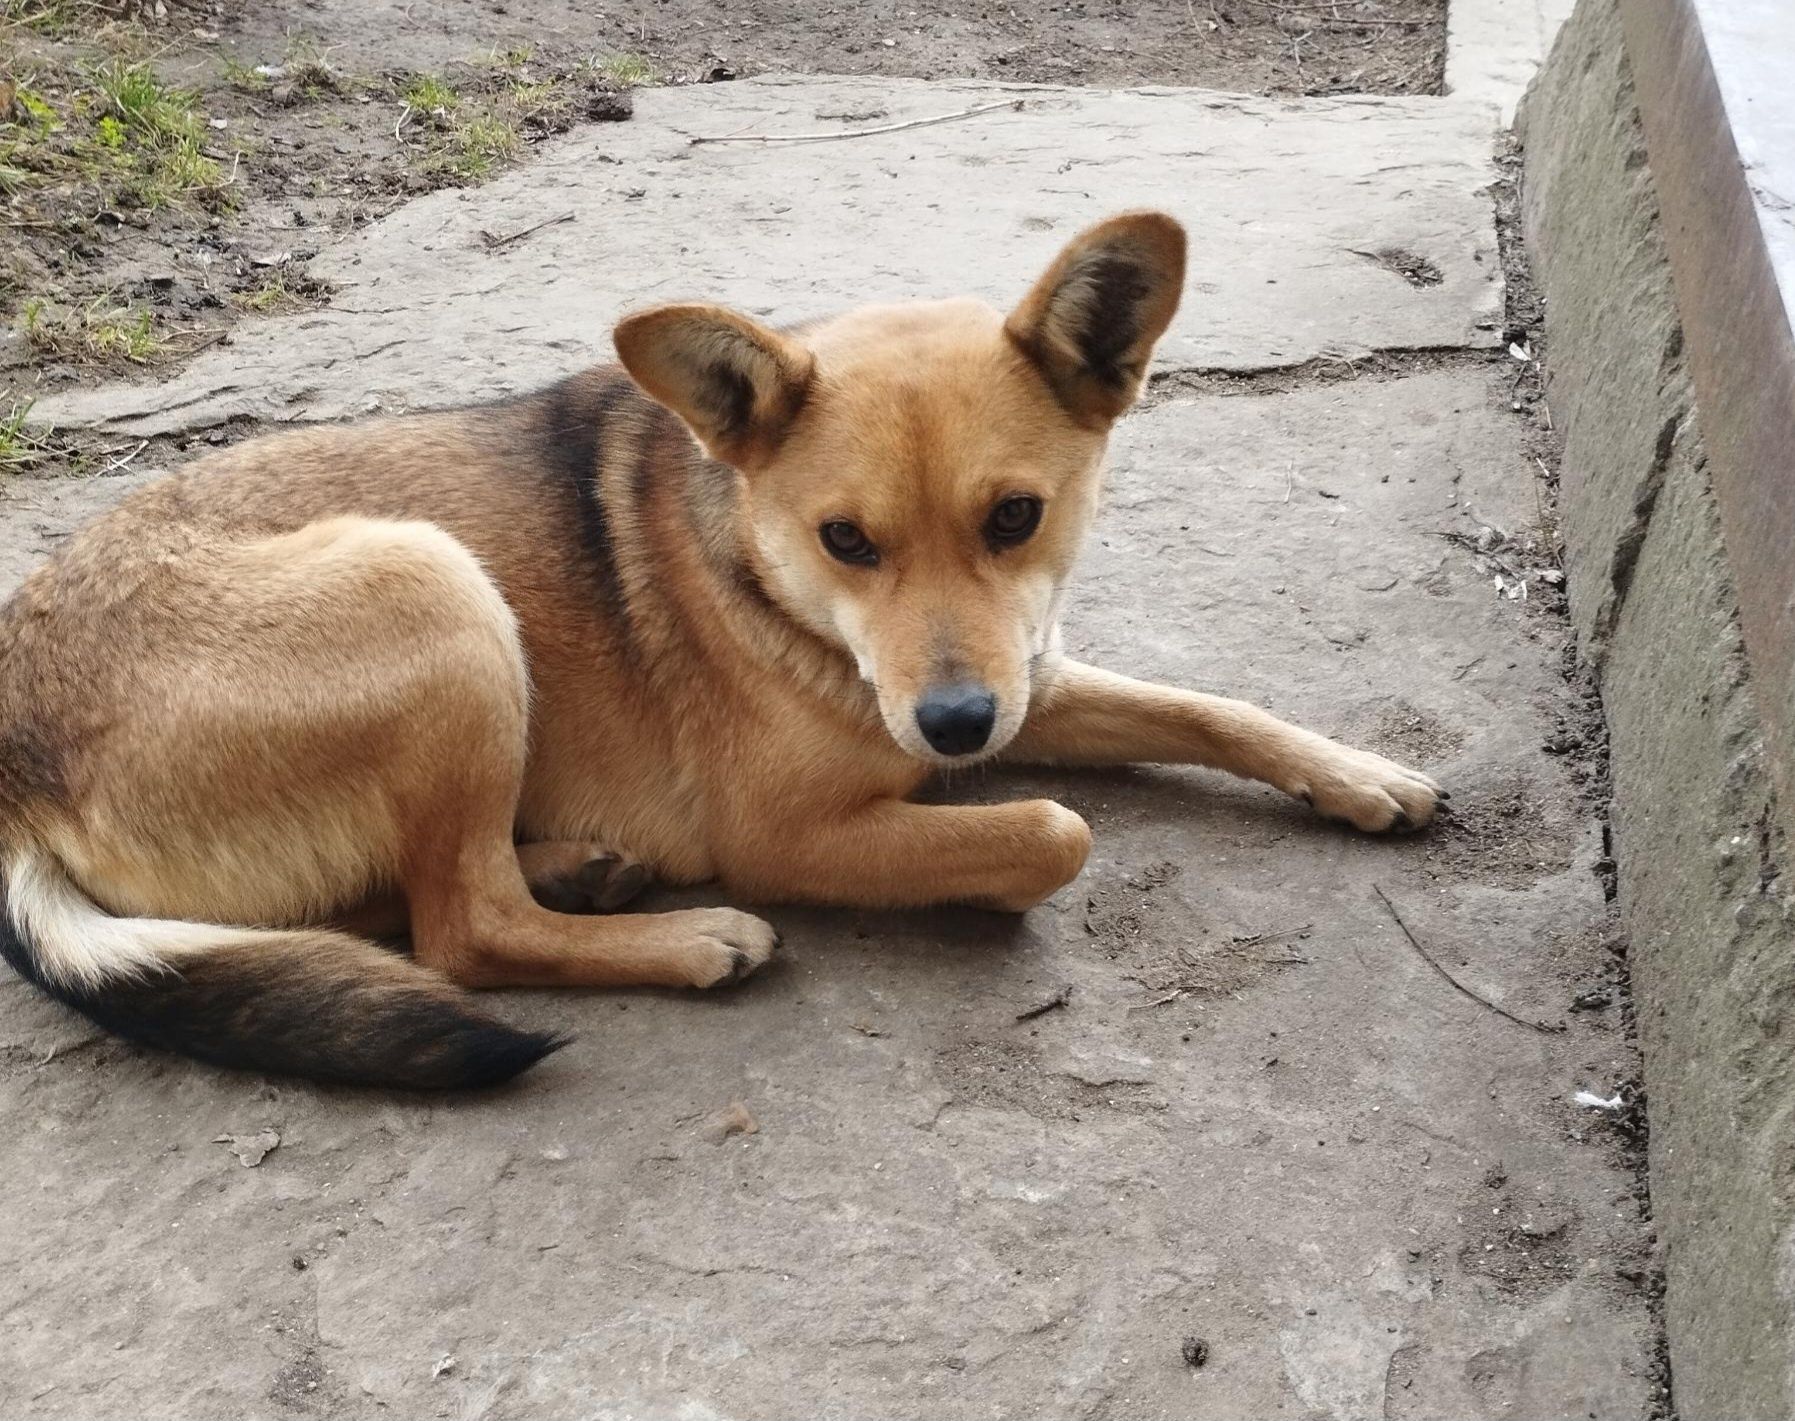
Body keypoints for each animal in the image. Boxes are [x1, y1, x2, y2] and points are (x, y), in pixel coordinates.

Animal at [0, 213, 1436, 1090]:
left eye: (1015, 518)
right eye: (846, 539)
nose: (956, 728)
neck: (779, 586)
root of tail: (18, 759)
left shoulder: (1029, 673)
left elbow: (1209, 705)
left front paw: (1356, 772)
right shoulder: (789, 831)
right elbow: (1051, 831)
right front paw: (988, 865)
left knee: (379, 907)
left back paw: (577, 869)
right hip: (431, 585)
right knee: (460, 927)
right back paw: (682, 939)